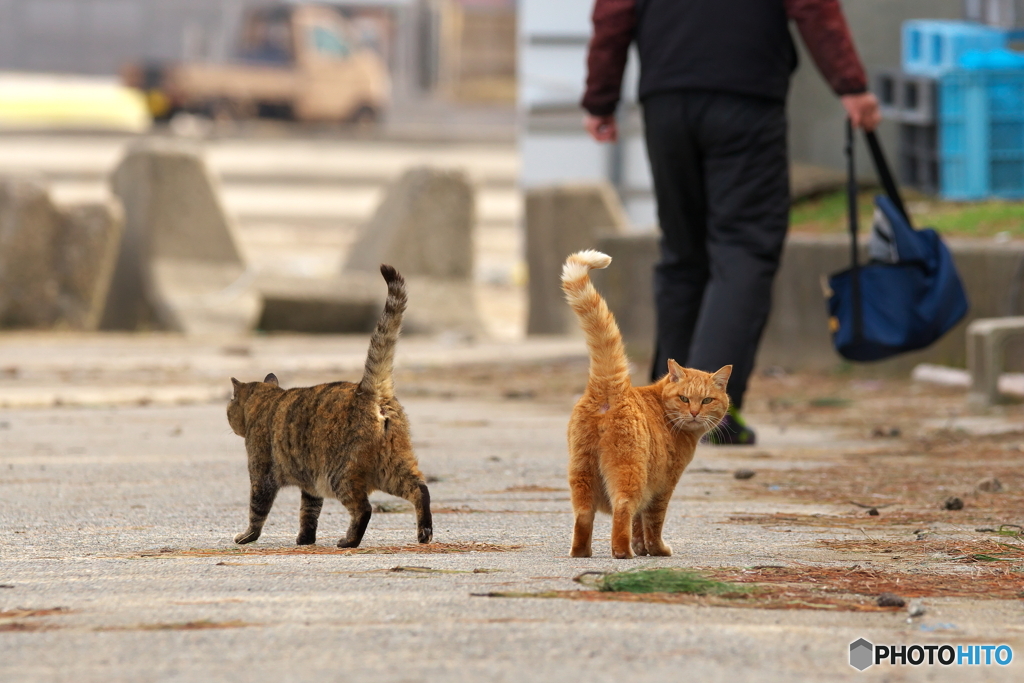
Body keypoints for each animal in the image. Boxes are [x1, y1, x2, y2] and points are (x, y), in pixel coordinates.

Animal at [226, 264, 430, 548]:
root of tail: (368, 389)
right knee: (420, 489)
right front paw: (305, 539)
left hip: (340, 475)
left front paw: (247, 537)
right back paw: (424, 533)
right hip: (392, 465)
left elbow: (257, 511)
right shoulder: (311, 486)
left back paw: (349, 541)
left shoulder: (261, 475)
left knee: (364, 508)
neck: (266, 401)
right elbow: (309, 513)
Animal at [561, 250, 729, 561]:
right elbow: (653, 522)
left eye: (707, 400)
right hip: (630, 473)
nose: (694, 412)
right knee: (623, 509)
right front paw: (656, 550)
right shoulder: (662, 486)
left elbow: (639, 524)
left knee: (583, 515)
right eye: (684, 398)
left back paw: (582, 552)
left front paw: (642, 548)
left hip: (582, 472)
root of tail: (611, 385)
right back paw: (623, 552)